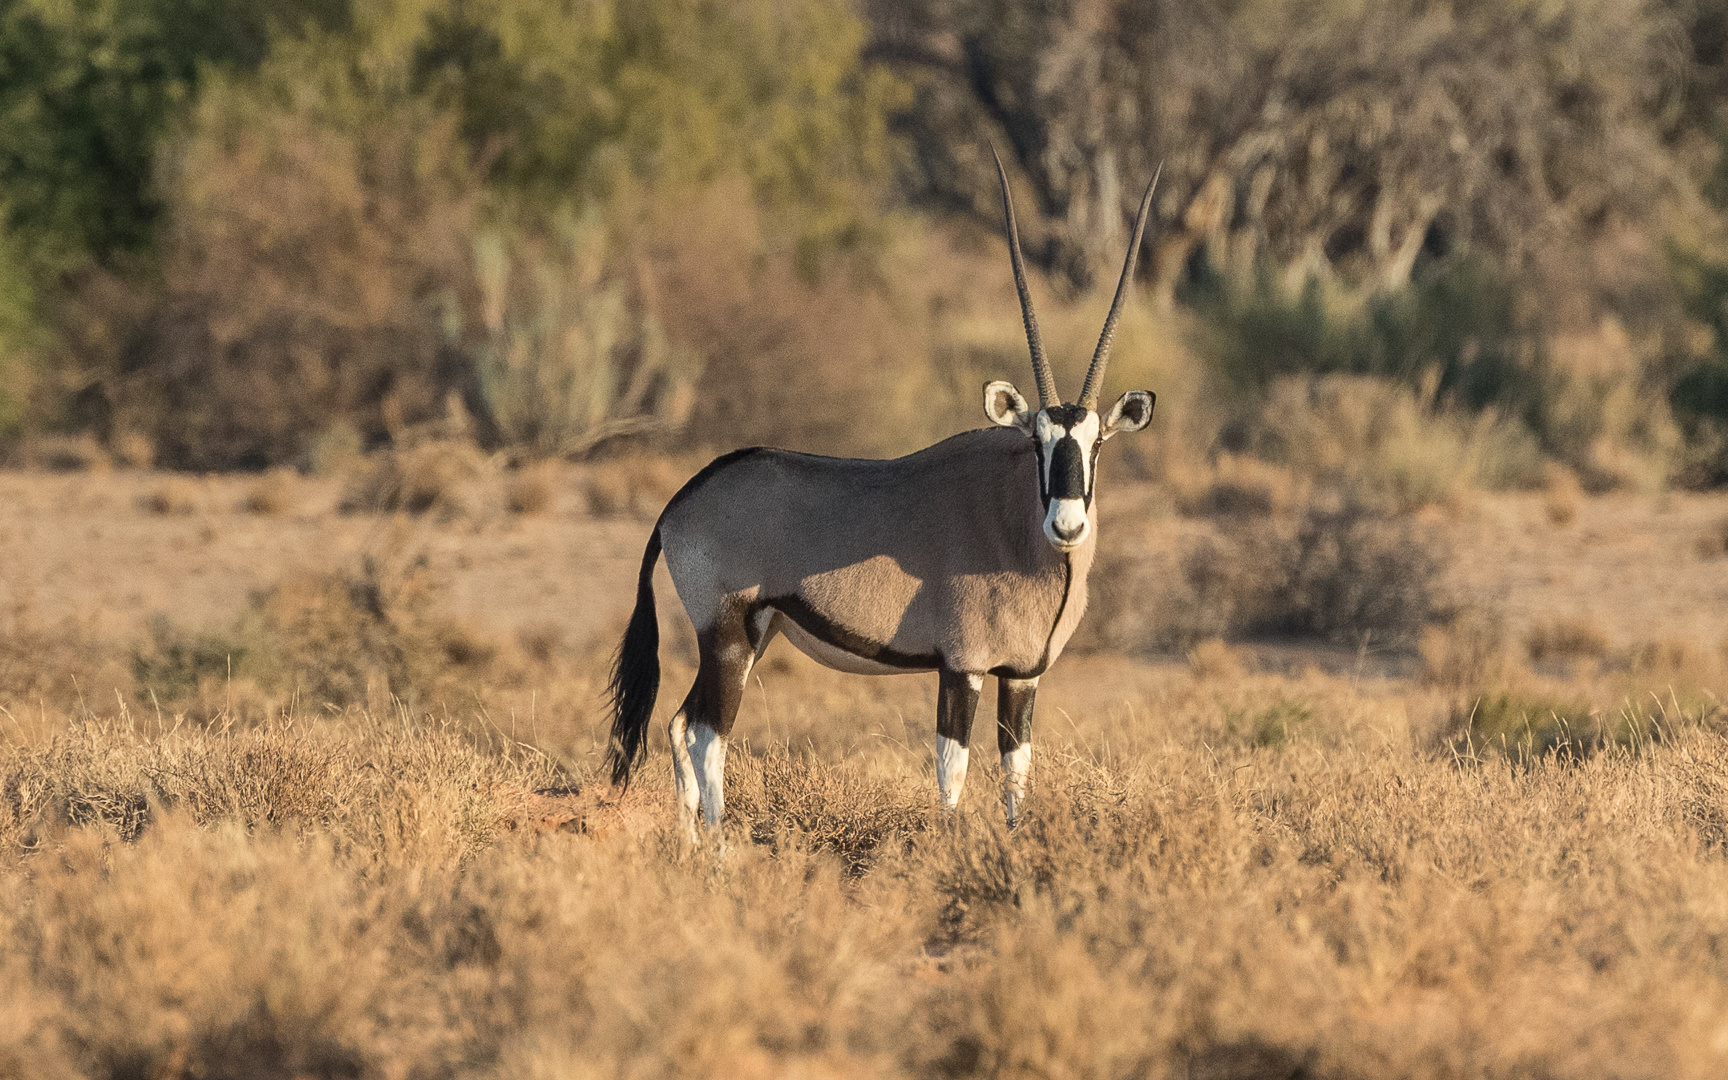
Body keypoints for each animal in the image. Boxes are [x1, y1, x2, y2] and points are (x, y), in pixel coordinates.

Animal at [608, 147, 1161, 829]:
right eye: (1037, 442)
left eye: (1096, 445)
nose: (1066, 525)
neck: (1016, 529)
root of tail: (676, 506)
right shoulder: (962, 666)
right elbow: (952, 771)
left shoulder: (1021, 675)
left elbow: (1016, 774)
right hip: (728, 635)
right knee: (710, 734)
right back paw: (720, 844)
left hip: (751, 636)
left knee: (682, 724)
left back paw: (689, 843)